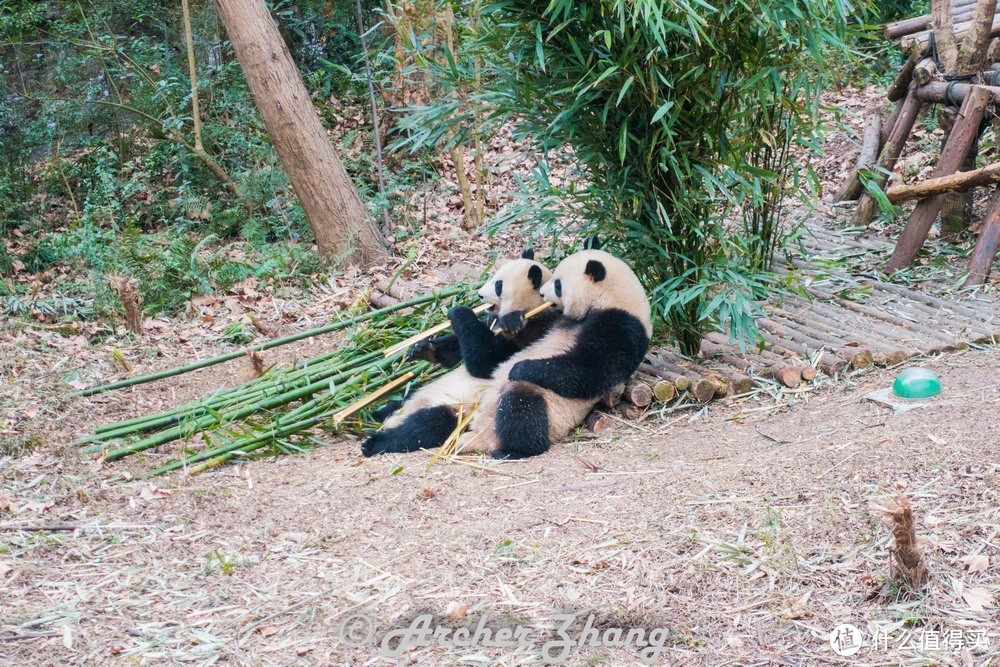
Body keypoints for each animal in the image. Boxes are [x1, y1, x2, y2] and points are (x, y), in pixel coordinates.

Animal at [454, 245, 656, 460]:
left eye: (558, 284)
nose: (542, 293)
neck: (613, 299)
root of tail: (481, 437)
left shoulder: (622, 328)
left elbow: (588, 369)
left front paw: (520, 367)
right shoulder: (549, 324)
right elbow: (493, 359)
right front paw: (507, 320)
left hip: (547, 409)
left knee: (521, 406)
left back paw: (512, 450)